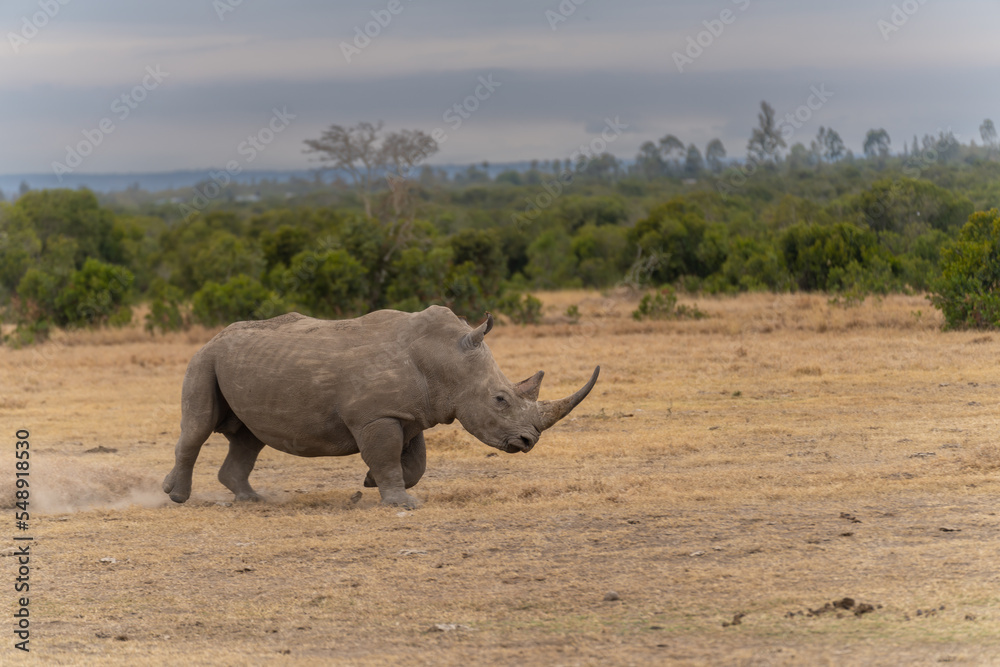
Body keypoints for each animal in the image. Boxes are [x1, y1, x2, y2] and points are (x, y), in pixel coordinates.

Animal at [162, 306, 600, 508]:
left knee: (250, 438)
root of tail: (213, 337)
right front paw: (400, 502)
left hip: (237, 364)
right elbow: (388, 455)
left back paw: (250, 499)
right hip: (204, 361)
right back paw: (177, 497)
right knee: (198, 429)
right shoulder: (376, 415)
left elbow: (414, 462)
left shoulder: (410, 414)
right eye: (500, 399)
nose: (528, 442)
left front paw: (373, 484)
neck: (447, 359)